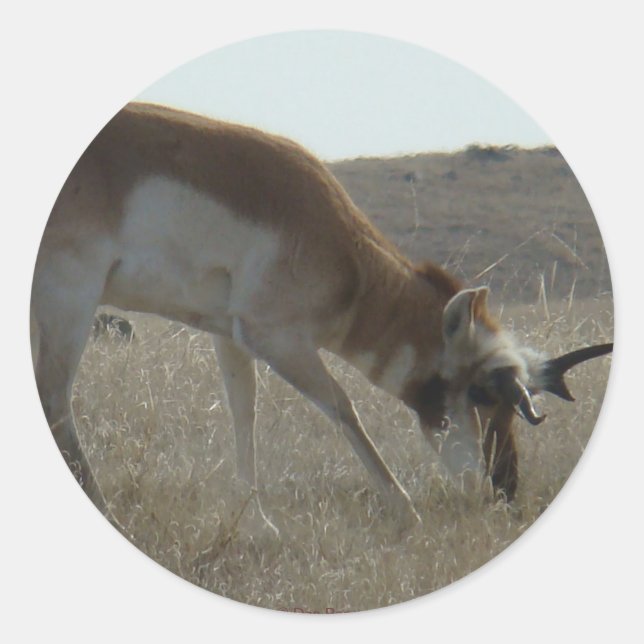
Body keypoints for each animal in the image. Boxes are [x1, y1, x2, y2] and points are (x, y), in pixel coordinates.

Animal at [31, 102, 612, 529]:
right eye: (482, 392)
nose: (505, 488)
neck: (341, 250)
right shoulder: (279, 339)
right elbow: (342, 407)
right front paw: (406, 511)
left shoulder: (228, 335)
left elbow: (244, 411)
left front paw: (258, 524)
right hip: (70, 297)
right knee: (55, 401)